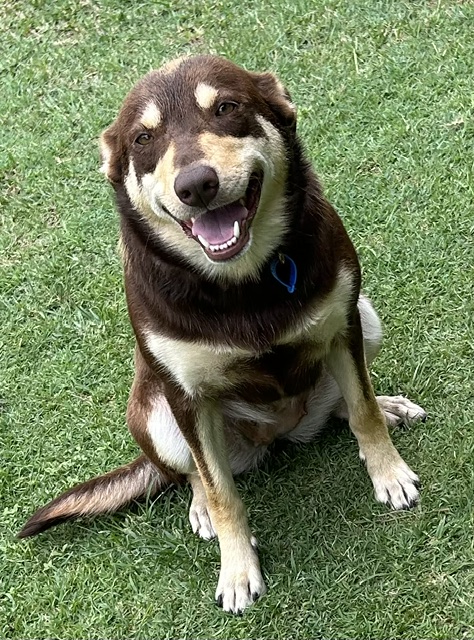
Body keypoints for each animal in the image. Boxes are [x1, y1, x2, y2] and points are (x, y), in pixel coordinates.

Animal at [19, 55, 426, 614]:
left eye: (227, 108)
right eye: (143, 139)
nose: (196, 185)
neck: (242, 285)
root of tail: (280, 432)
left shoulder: (343, 323)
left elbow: (362, 410)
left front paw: (388, 473)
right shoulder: (184, 395)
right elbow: (220, 489)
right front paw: (236, 570)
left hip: (366, 316)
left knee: (345, 399)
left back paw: (387, 407)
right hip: (151, 409)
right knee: (191, 470)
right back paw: (199, 509)